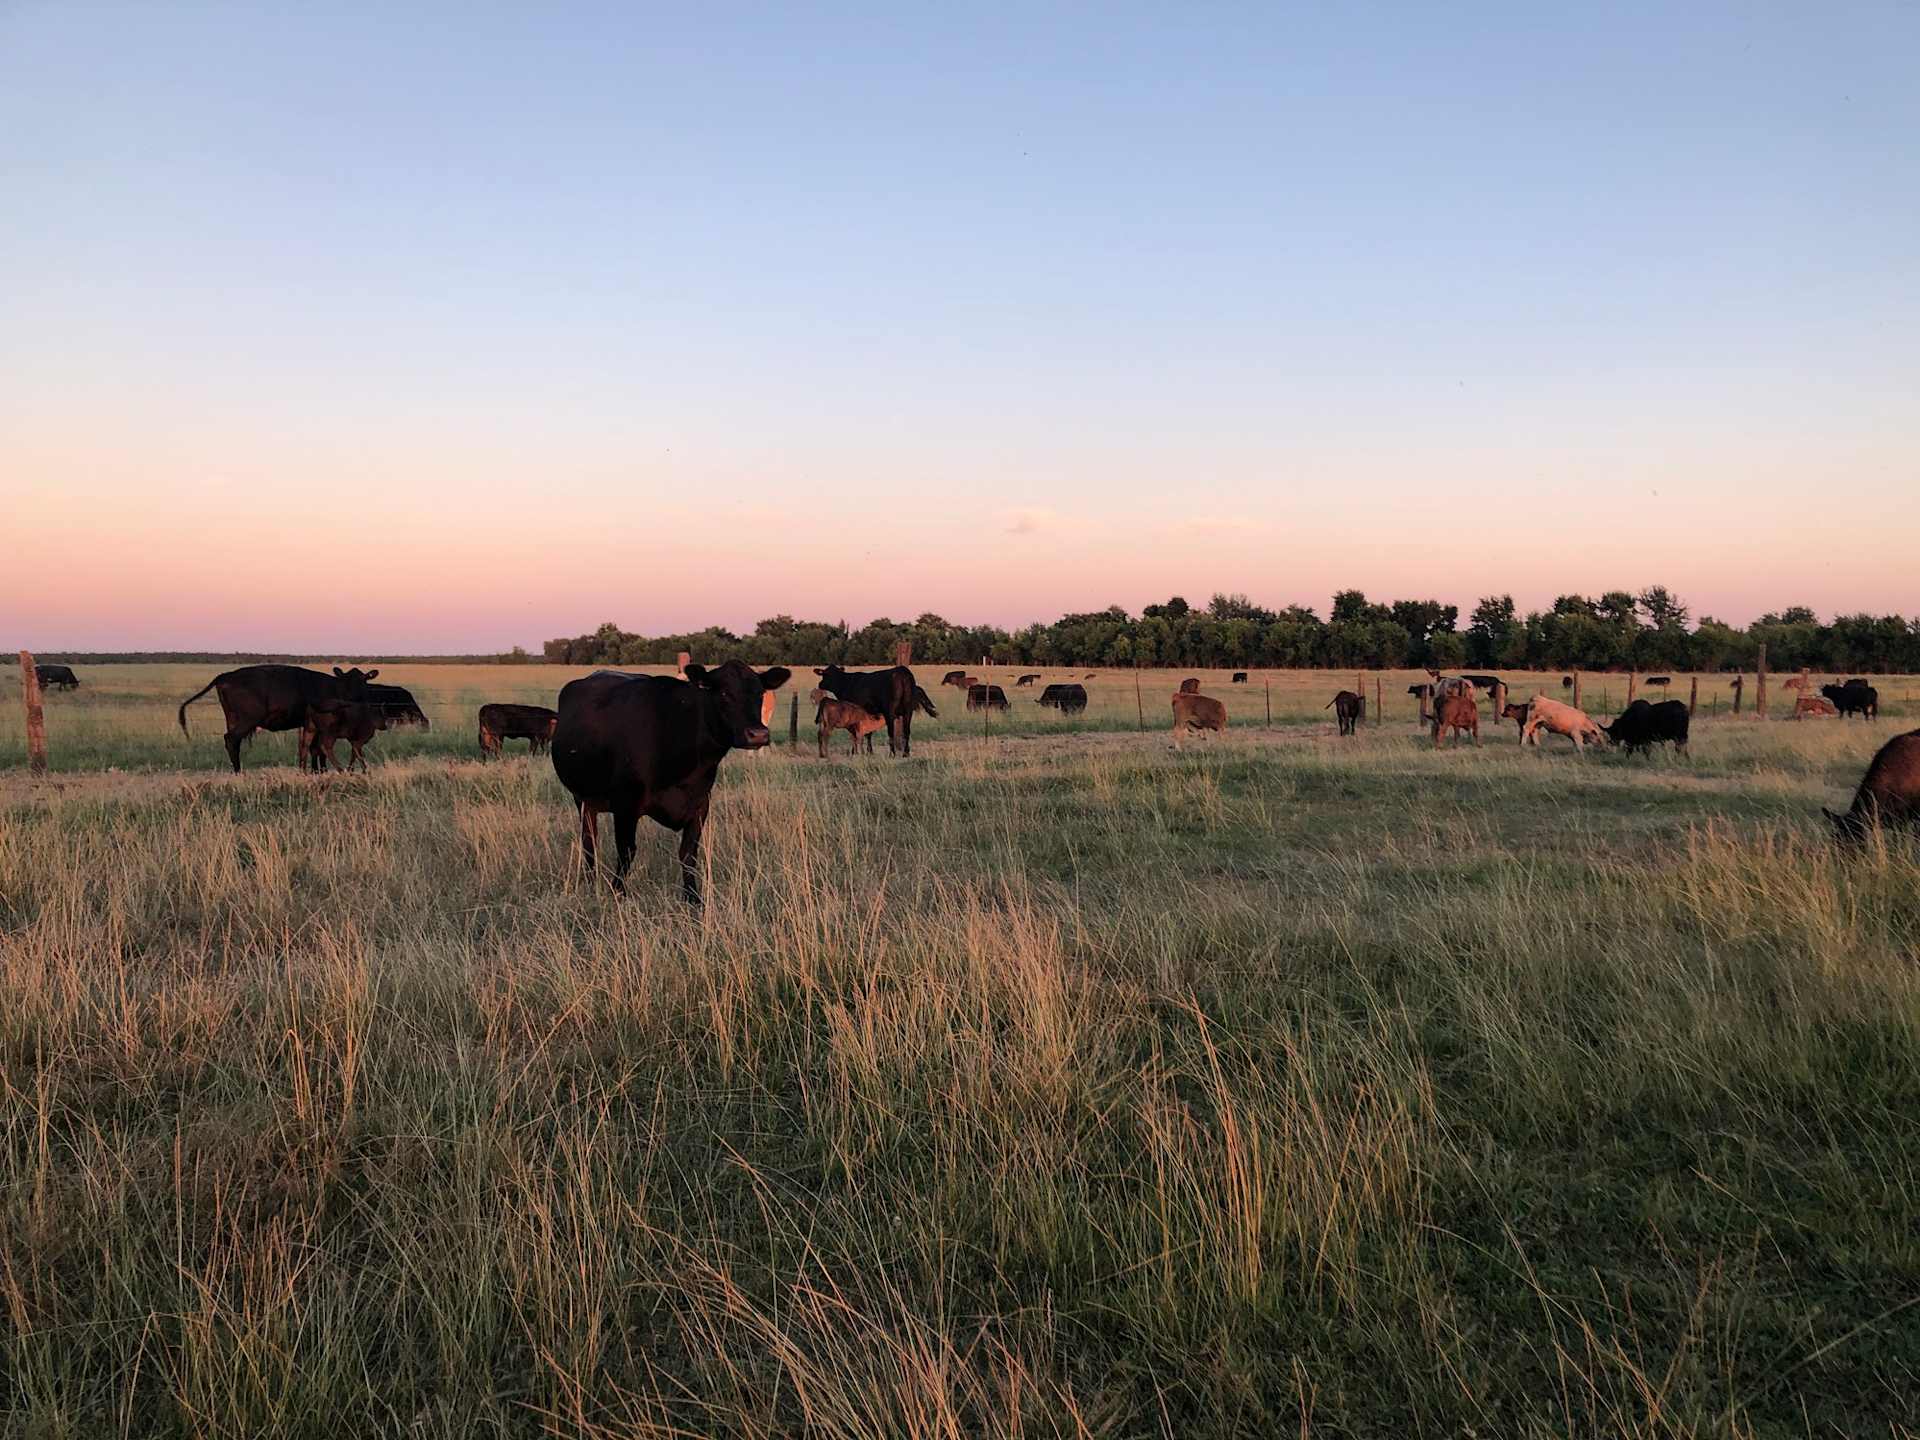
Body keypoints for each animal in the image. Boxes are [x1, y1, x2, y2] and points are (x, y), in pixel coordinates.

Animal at [177, 665, 380, 773]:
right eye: (347, 681)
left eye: (364, 679)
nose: (353, 698)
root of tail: (225, 675)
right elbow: (318, 748)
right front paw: (319, 771)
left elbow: (312, 748)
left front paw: (314, 771)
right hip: (248, 719)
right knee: (231, 739)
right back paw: (239, 772)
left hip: (232, 718)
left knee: (232, 742)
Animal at [551, 661, 791, 903]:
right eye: (724, 693)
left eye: (760, 693)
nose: (758, 734)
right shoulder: (626, 803)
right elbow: (627, 850)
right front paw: (618, 892)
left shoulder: (700, 804)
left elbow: (689, 854)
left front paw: (693, 898)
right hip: (583, 798)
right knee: (589, 842)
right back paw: (591, 882)